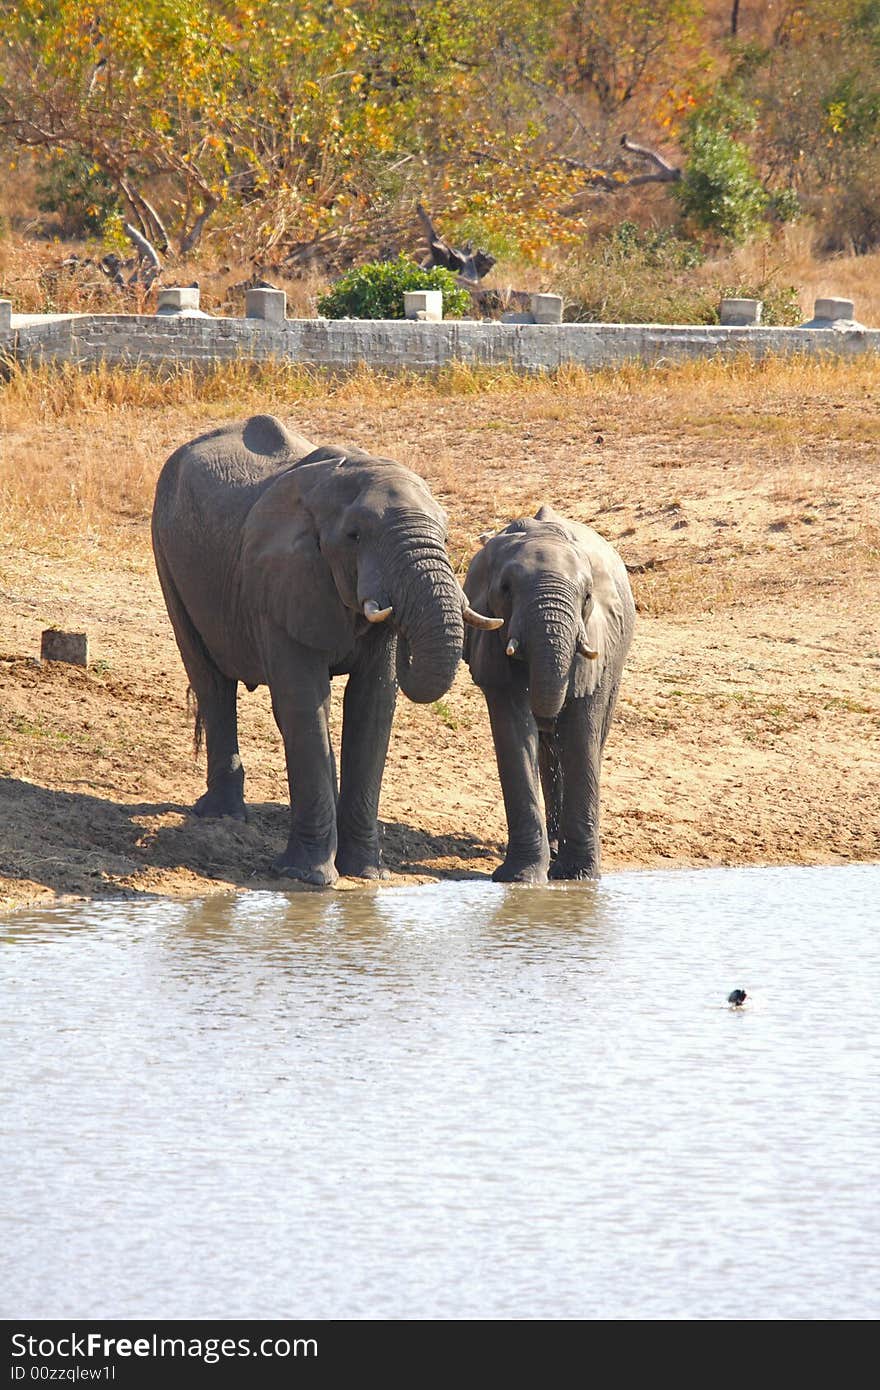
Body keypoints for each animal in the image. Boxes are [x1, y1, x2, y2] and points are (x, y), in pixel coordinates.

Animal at [150, 414, 494, 889]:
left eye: (443, 533)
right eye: (355, 536)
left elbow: (373, 705)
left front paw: (368, 873)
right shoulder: (276, 582)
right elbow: (304, 702)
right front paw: (308, 878)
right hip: (167, 553)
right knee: (211, 681)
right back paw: (222, 815)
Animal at [458, 508, 631, 878]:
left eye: (587, 596)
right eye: (506, 589)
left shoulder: (598, 635)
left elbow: (580, 733)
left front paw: (577, 877)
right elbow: (515, 733)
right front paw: (520, 878)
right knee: (549, 747)